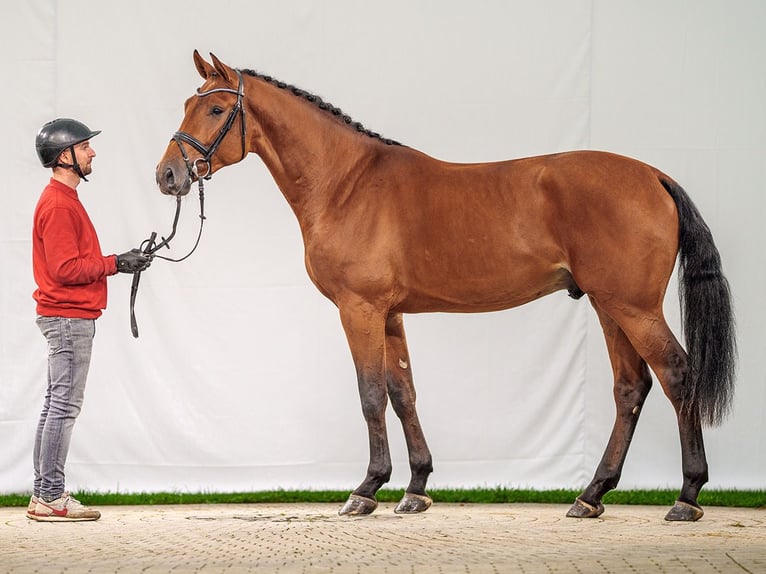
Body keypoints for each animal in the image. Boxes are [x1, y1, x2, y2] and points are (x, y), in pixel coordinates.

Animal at [156, 51, 736, 524]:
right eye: (188, 103)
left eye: (214, 109)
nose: (167, 176)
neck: (347, 183)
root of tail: (653, 176)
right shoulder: (389, 314)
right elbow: (403, 392)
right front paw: (415, 488)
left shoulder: (359, 309)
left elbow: (370, 394)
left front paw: (366, 490)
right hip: (608, 305)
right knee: (630, 388)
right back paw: (591, 495)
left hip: (632, 306)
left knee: (677, 375)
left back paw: (686, 497)